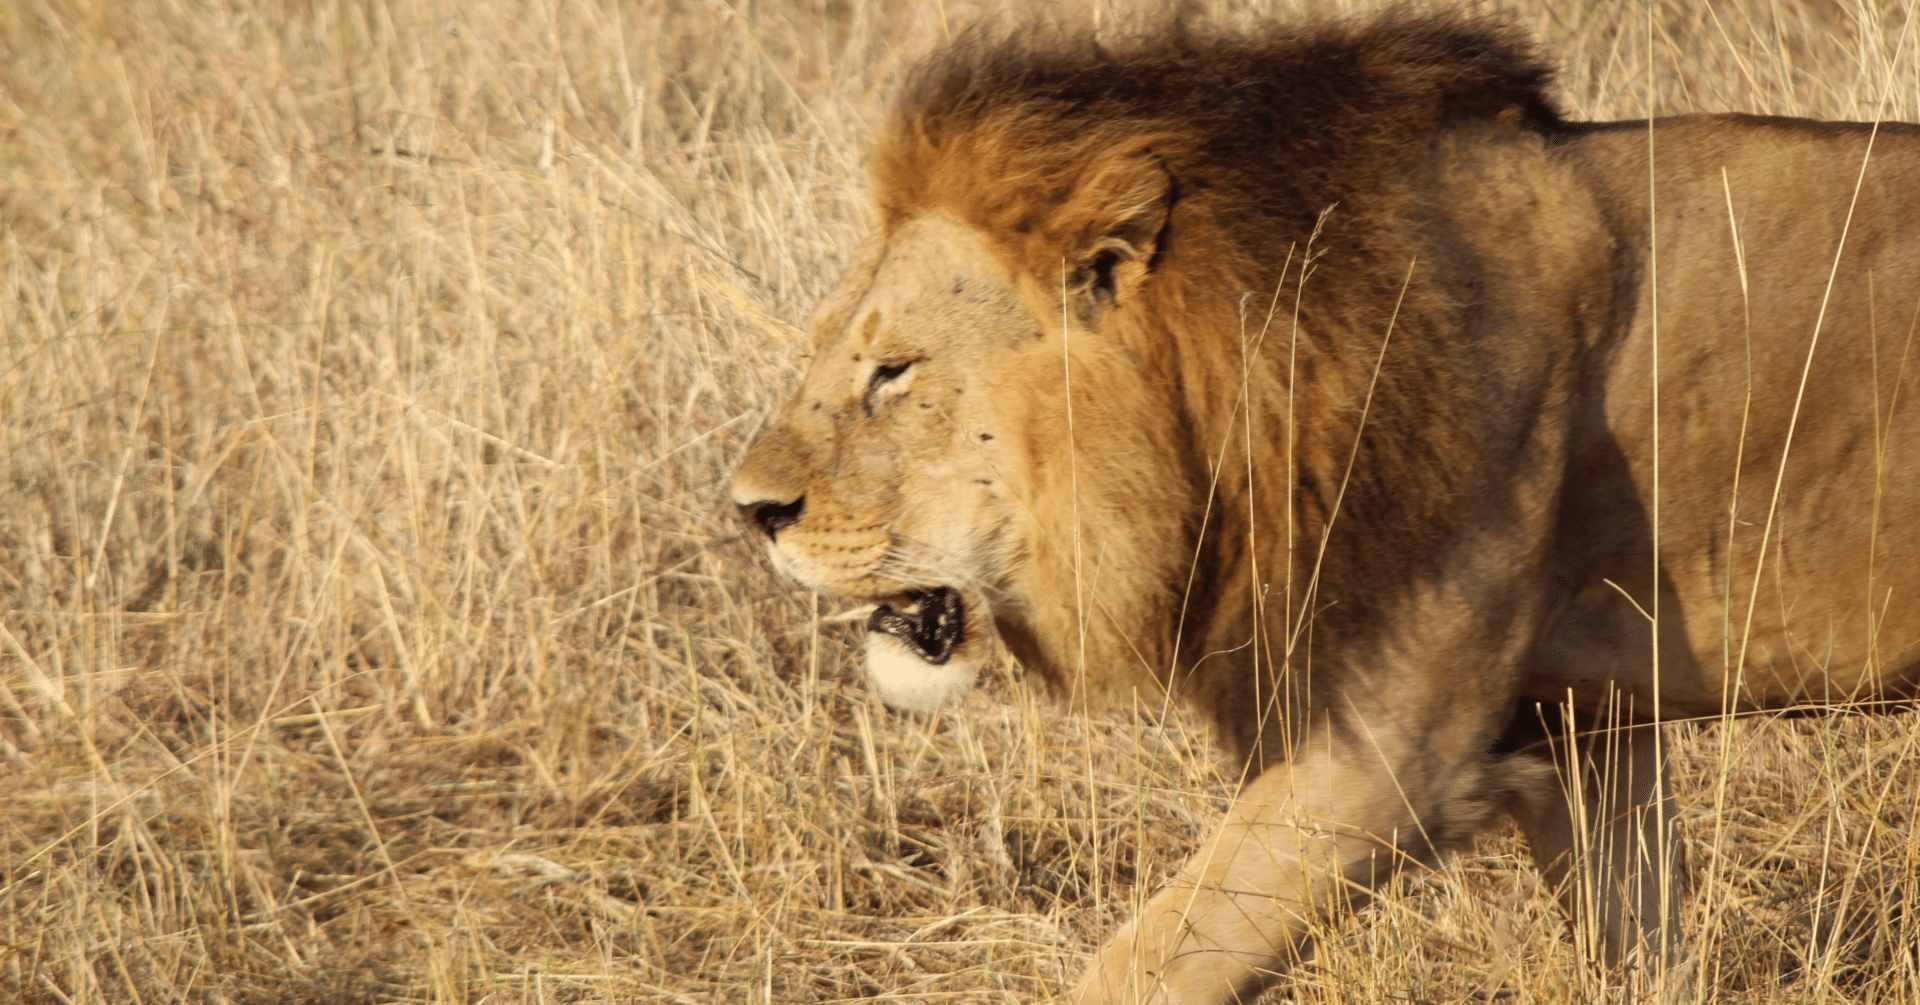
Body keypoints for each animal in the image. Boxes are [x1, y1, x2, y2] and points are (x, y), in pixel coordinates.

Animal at [725, 9, 1920, 1005]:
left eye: (893, 372)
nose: (751, 510)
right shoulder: (1587, 726)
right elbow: (1638, 931)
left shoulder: (1389, 749)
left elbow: (1143, 964)